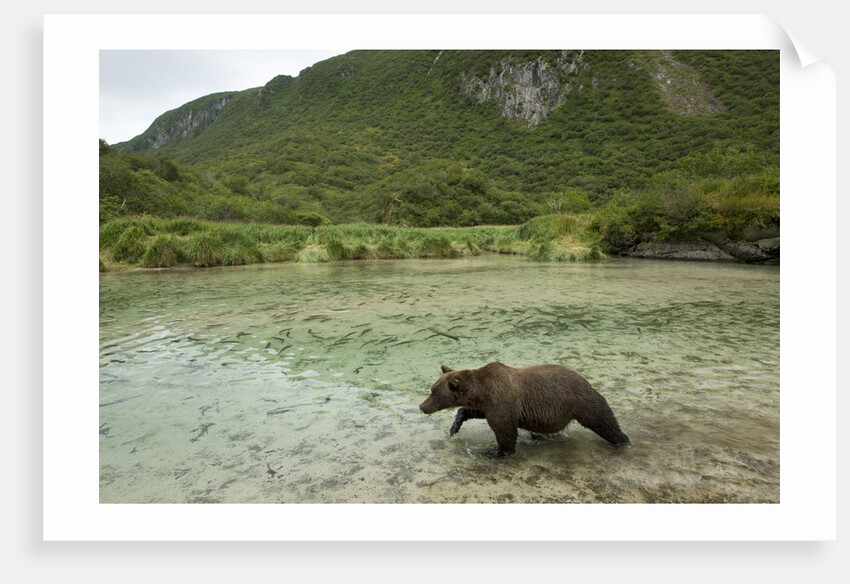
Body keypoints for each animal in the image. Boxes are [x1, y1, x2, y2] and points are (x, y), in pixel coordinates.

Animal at [419, 362, 630, 456]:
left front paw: (496, 452)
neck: (482, 391)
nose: (422, 406)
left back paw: (623, 440)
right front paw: (454, 426)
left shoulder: (502, 402)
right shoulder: (488, 405)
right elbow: (472, 412)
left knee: (603, 420)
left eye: (433, 391)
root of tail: (585, 379)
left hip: (581, 401)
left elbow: (505, 432)